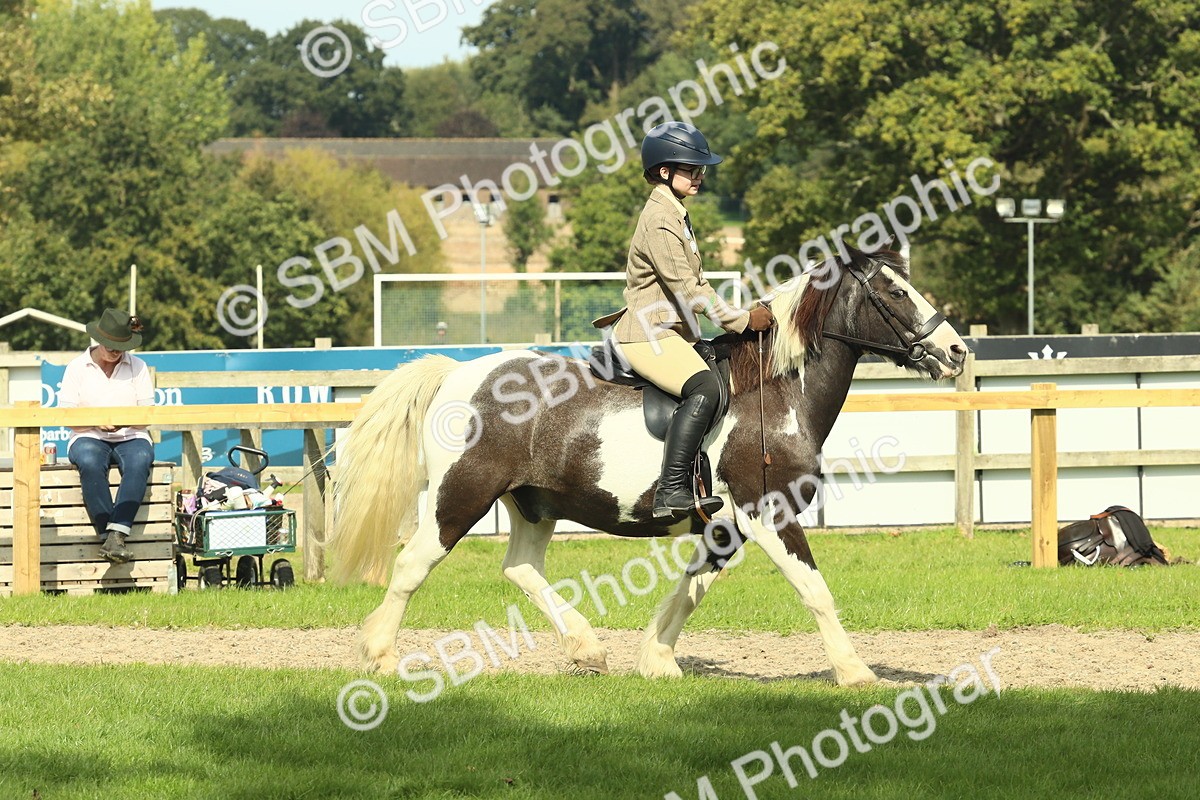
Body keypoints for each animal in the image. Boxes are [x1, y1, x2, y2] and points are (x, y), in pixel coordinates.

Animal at [330, 246, 968, 686]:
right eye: (895, 291)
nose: (957, 351)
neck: (776, 391)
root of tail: (457, 374)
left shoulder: (727, 525)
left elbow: (691, 589)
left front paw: (656, 660)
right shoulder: (768, 515)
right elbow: (815, 591)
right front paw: (856, 672)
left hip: (533, 504)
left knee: (520, 569)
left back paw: (587, 648)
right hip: (460, 496)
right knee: (413, 565)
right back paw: (380, 655)